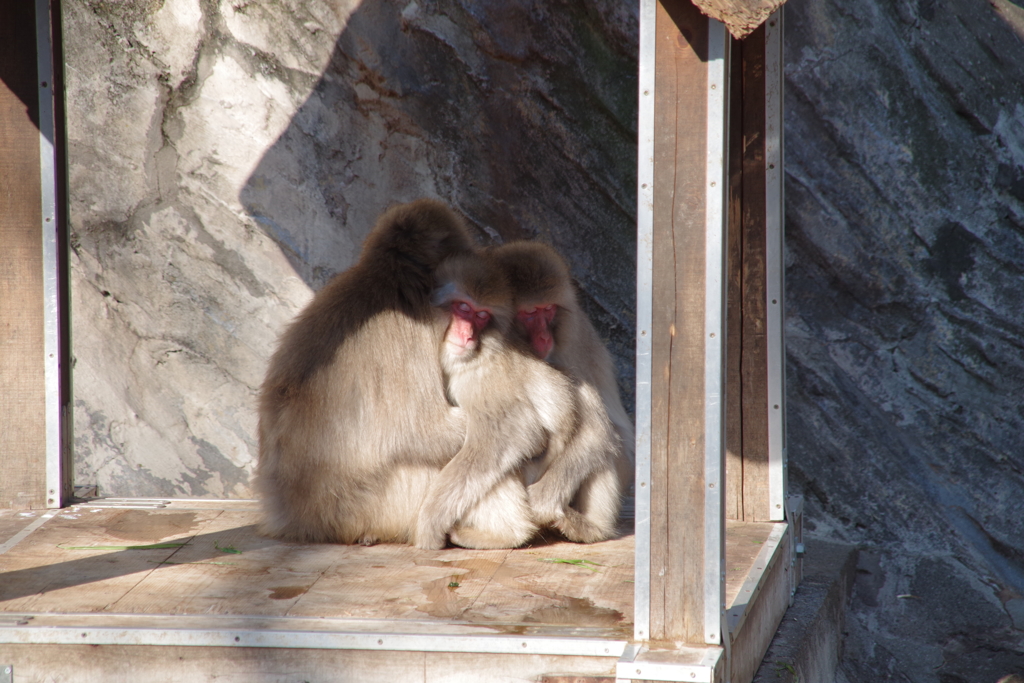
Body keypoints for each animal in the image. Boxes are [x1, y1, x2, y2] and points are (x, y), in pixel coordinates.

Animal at [411, 250, 618, 548]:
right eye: (461, 308)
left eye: (480, 315)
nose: (466, 335)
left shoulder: (479, 376)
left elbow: (515, 432)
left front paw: (429, 523)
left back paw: (517, 533)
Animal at [487, 242, 630, 532]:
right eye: (530, 314)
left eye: (548, 309)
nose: (545, 337)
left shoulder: (574, 343)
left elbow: (597, 433)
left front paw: (541, 502)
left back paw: (593, 527)